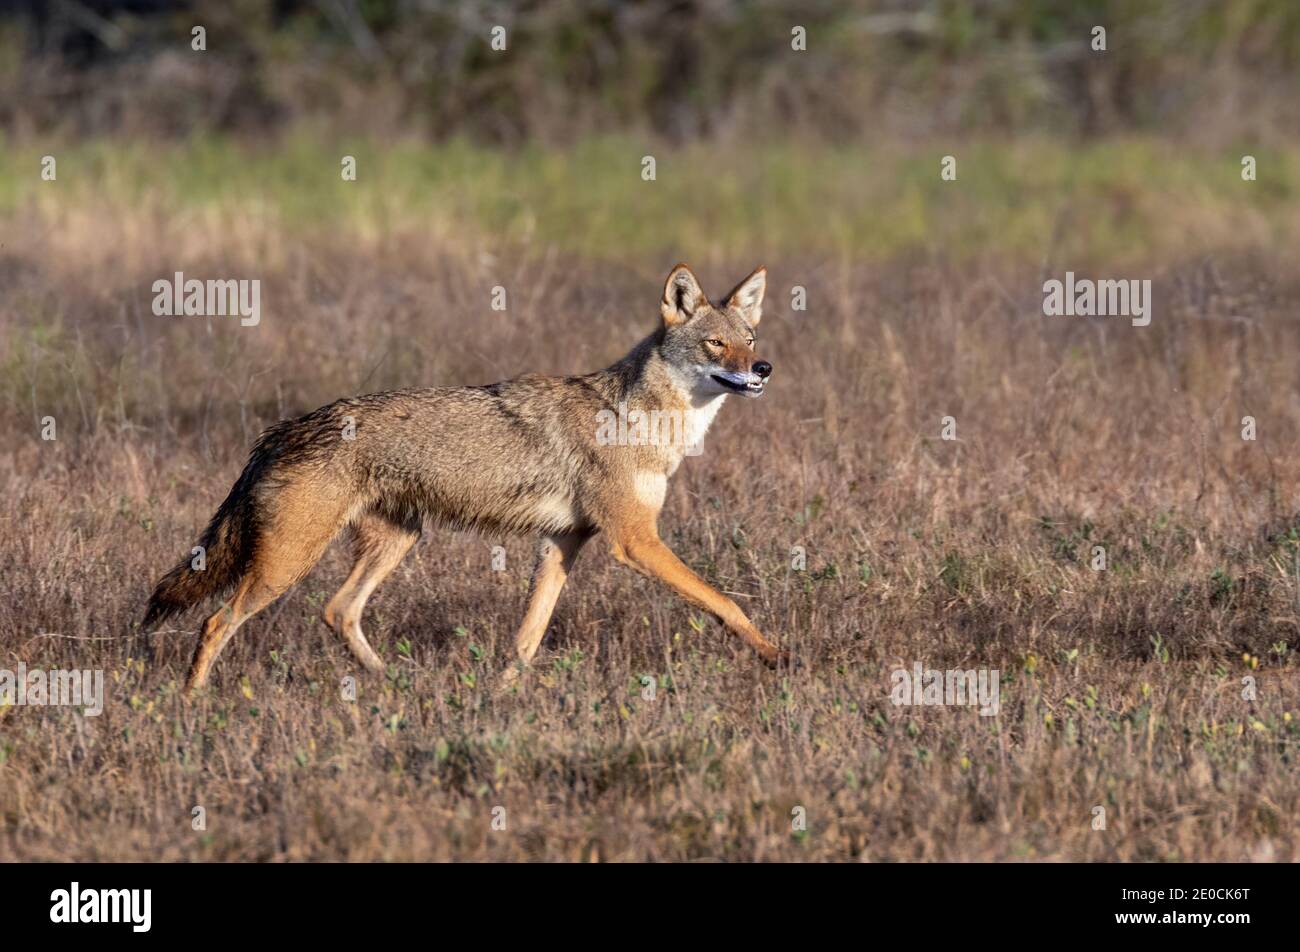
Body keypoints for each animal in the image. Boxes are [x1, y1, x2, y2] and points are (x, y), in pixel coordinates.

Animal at [144, 264, 785, 693]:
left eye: (750, 339)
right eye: (715, 343)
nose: (763, 367)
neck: (642, 420)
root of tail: (279, 431)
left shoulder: (563, 543)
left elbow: (527, 637)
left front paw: (502, 696)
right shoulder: (635, 542)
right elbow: (725, 603)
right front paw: (776, 655)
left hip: (396, 542)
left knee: (337, 610)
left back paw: (390, 682)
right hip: (286, 565)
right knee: (216, 621)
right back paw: (193, 704)